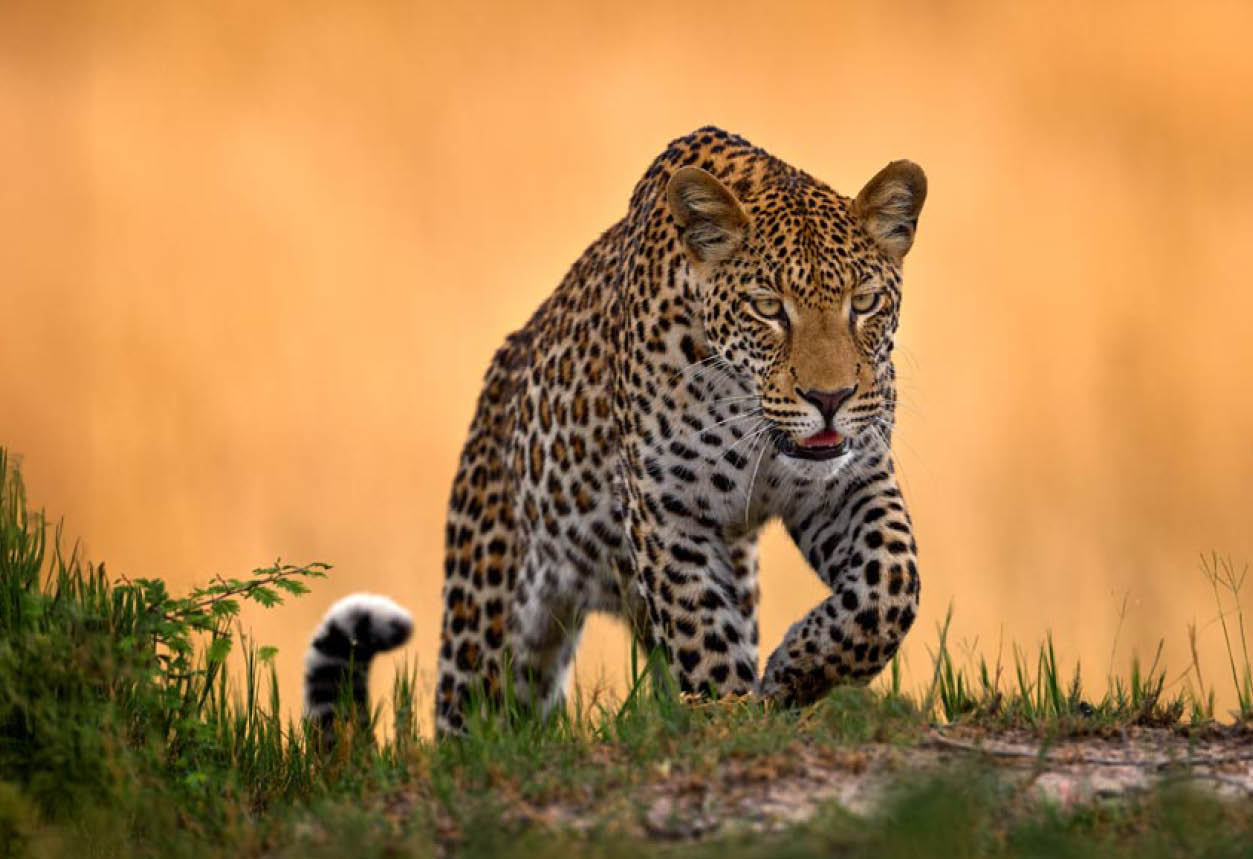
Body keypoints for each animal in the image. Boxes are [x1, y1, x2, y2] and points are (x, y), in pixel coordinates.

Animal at [434, 126, 925, 735]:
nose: (830, 398)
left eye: (864, 303)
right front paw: (728, 714)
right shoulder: (665, 508)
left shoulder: (851, 481)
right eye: (767, 308)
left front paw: (798, 668)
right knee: (472, 712)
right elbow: (701, 627)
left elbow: (892, 583)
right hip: (483, 616)